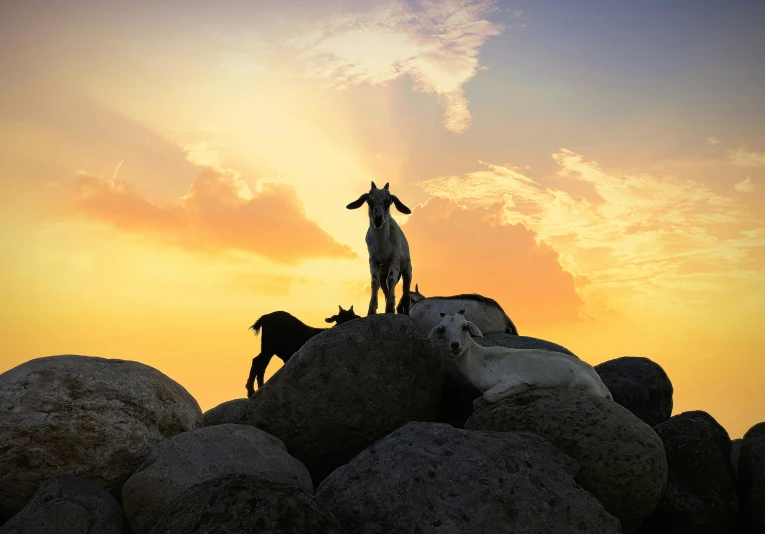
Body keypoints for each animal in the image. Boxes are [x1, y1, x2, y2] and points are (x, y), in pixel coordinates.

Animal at [346, 183, 412, 316]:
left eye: (388, 202)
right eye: (369, 202)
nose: (378, 218)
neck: (382, 243)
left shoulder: (395, 258)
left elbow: (391, 279)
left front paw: (390, 308)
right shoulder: (373, 259)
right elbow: (374, 281)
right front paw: (372, 310)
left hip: (407, 269)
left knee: (406, 290)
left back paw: (405, 312)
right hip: (383, 273)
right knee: (385, 287)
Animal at [426, 312, 612, 404]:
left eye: (464, 327)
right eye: (442, 329)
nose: (455, 345)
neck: (480, 359)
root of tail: (604, 388)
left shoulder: (509, 380)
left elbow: (488, 396)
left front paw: (526, 387)